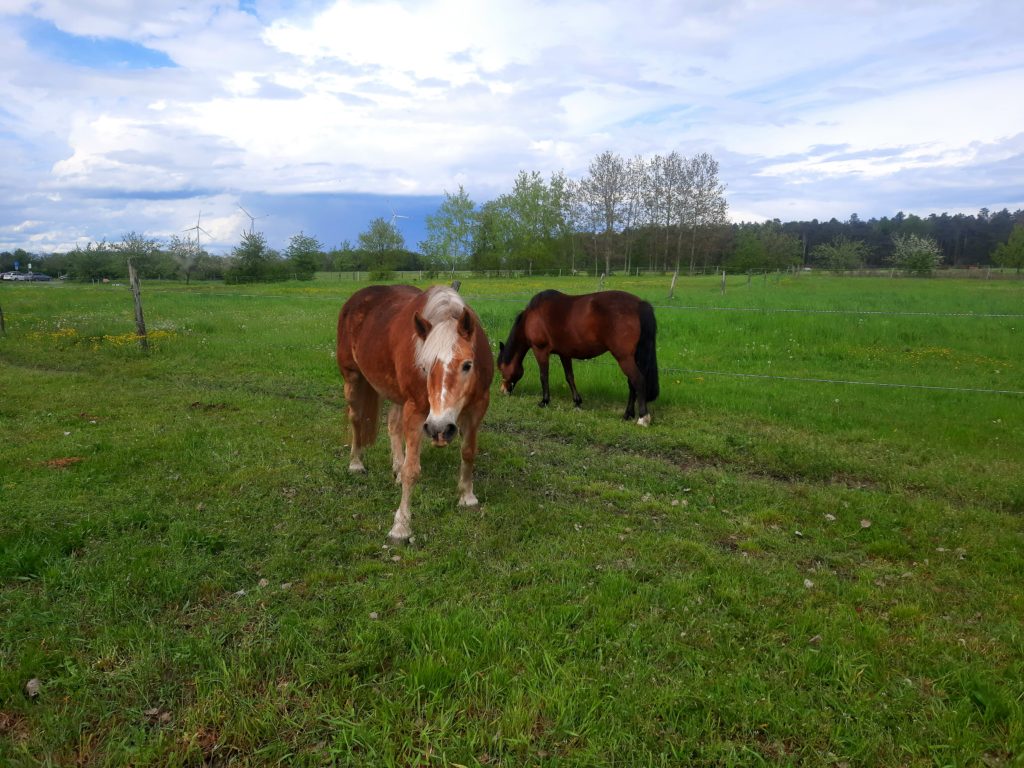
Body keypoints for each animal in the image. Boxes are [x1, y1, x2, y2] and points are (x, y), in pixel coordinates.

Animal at [337, 286, 493, 544]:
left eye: (467, 365)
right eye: (425, 367)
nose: (440, 428)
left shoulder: (477, 407)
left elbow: (468, 452)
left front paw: (467, 497)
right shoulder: (417, 410)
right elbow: (412, 470)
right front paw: (401, 527)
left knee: (393, 425)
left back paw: (395, 467)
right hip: (353, 378)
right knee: (356, 419)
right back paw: (356, 463)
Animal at [497, 290, 659, 428]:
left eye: (501, 369)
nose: (503, 390)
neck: (532, 316)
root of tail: (639, 304)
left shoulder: (540, 350)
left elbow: (544, 376)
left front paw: (544, 401)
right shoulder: (564, 353)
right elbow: (569, 377)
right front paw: (577, 402)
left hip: (624, 358)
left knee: (638, 380)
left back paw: (642, 418)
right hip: (634, 357)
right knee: (632, 384)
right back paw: (627, 414)